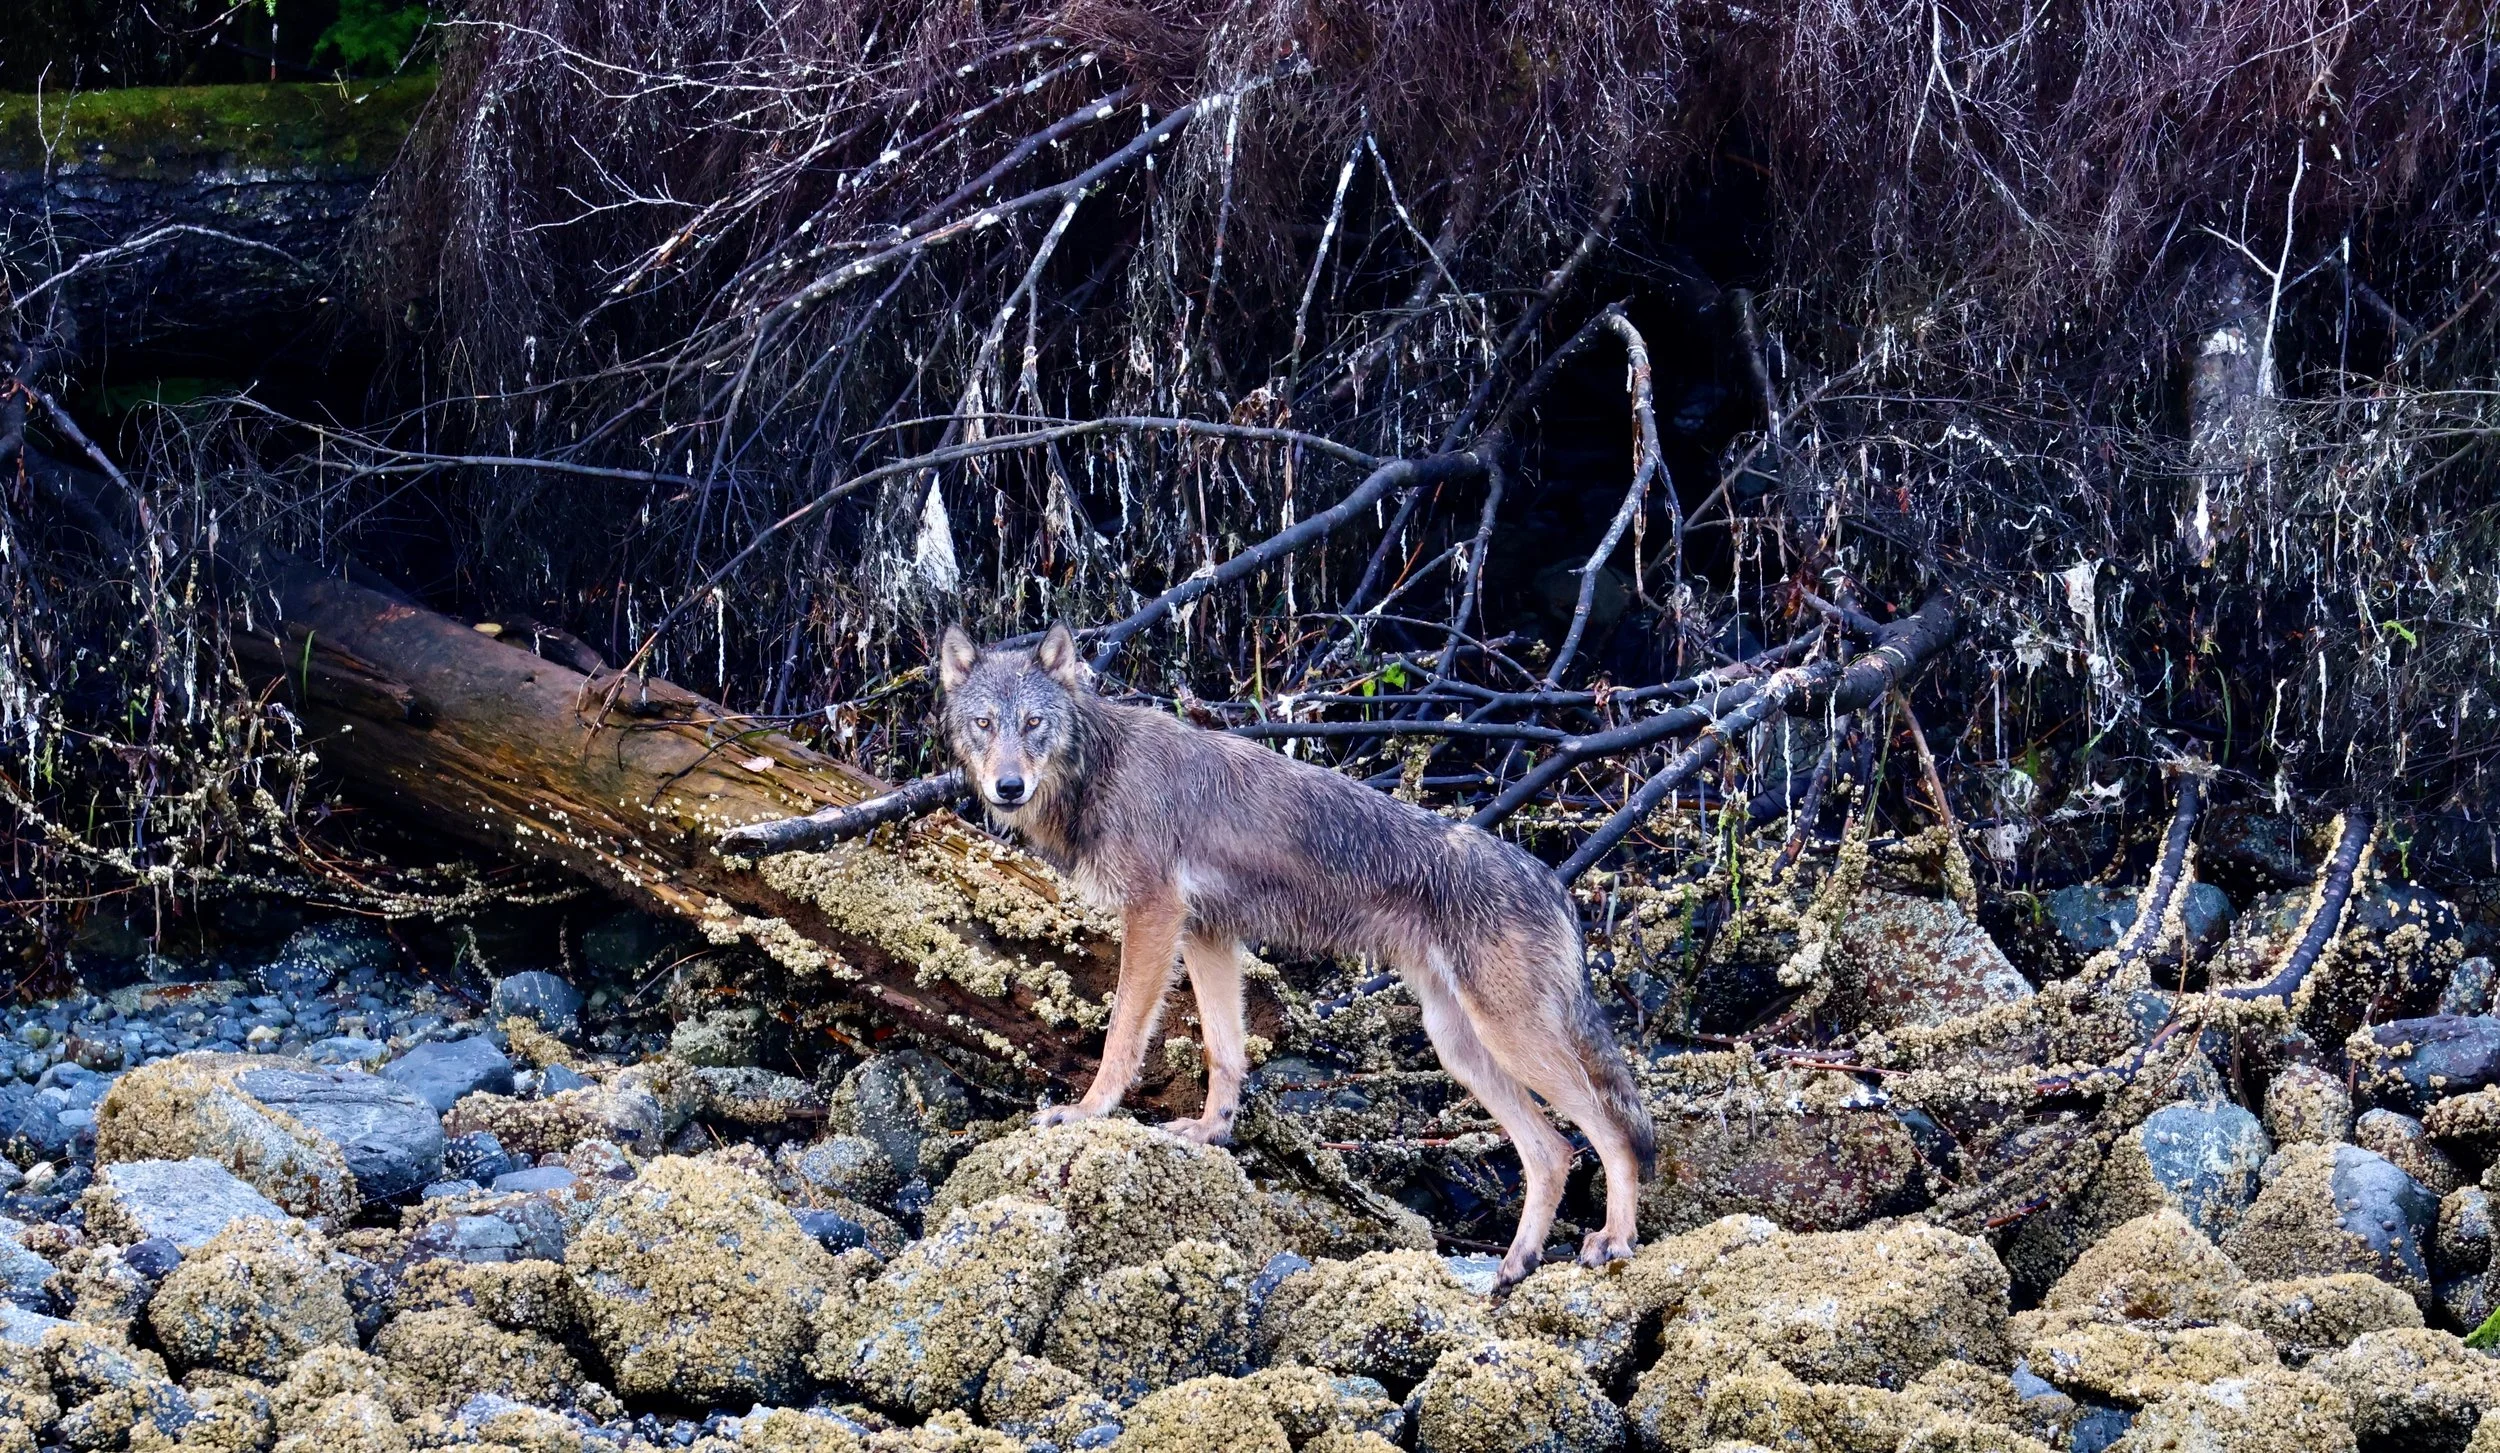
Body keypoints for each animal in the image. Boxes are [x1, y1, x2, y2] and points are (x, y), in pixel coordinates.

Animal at [936, 622, 1656, 1283]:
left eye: (1033, 723)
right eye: (984, 723)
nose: (1006, 787)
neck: (1099, 770)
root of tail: (1553, 882)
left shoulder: (1154, 917)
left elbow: (1121, 1037)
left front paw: (1089, 1111)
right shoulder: (1207, 934)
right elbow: (1223, 1052)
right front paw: (1212, 1132)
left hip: (1512, 1038)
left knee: (1606, 1133)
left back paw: (1613, 1240)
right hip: (1462, 1046)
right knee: (1551, 1150)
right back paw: (1514, 1264)